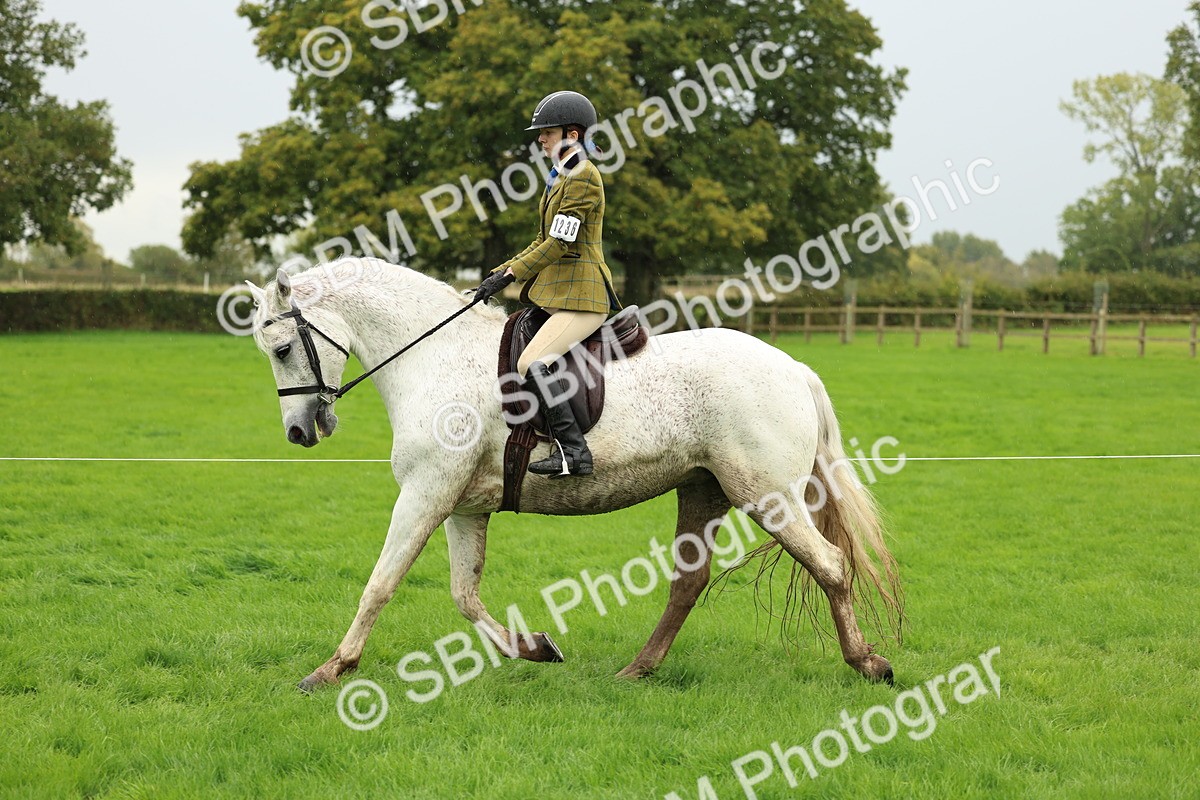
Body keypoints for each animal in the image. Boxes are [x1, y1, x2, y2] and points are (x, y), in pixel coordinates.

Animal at [244, 257, 902, 692]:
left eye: (281, 349)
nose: (300, 431)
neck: (434, 355)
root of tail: (793, 367)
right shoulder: (462, 506)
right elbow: (464, 595)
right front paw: (535, 647)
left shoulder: (425, 494)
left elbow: (380, 583)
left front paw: (331, 669)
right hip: (703, 489)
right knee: (688, 583)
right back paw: (638, 669)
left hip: (766, 496)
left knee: (830, 566)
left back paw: (869, 664)